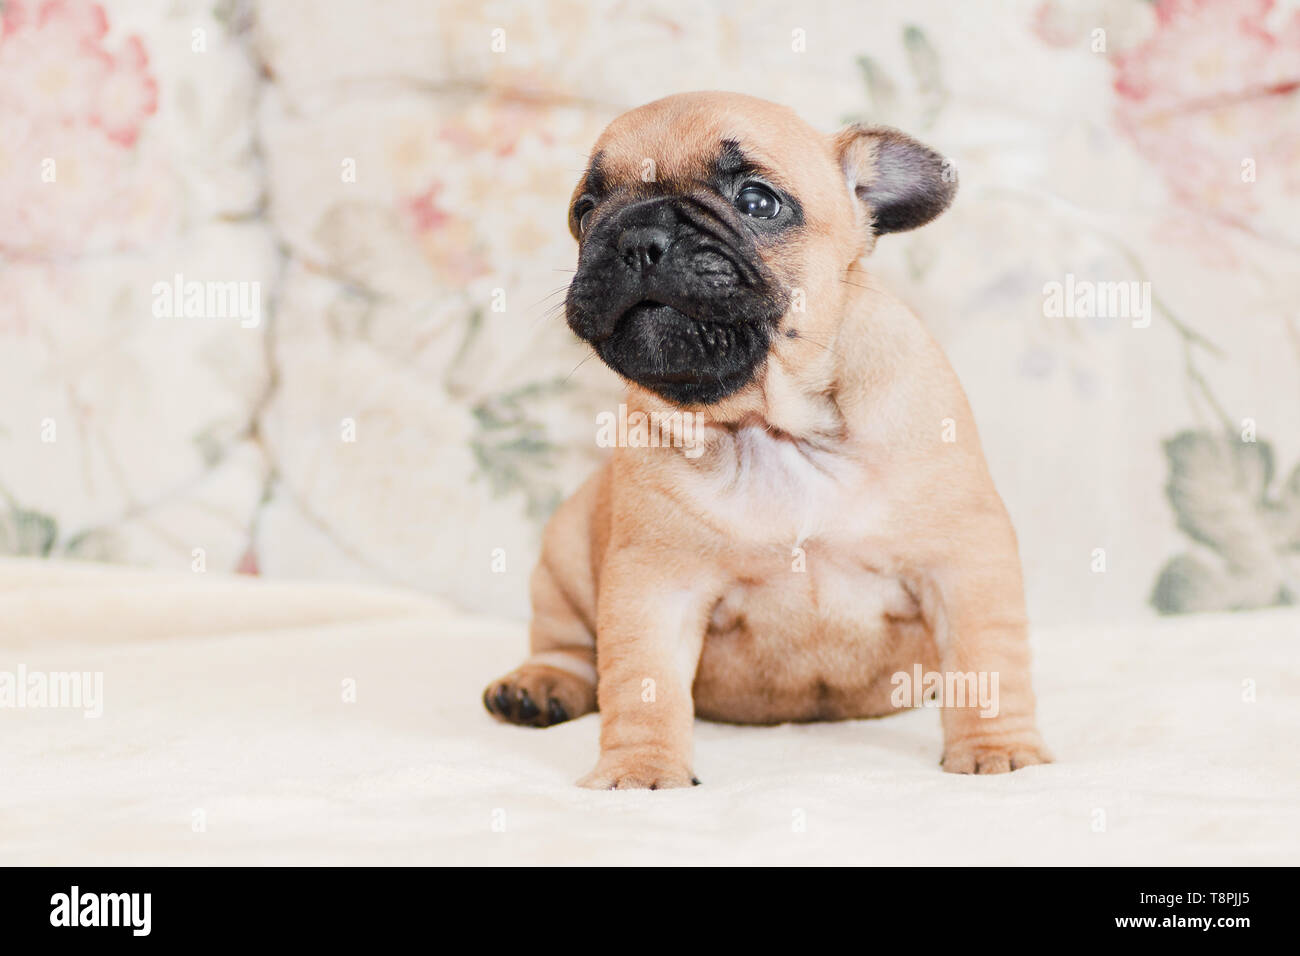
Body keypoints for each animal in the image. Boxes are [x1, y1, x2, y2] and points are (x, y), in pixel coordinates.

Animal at [483, 91, 1050, 790]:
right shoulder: (655, 585)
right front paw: (641, 771)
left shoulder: (964, 560)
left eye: (757, 200)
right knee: (568, 647)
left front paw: (999, 750)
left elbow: (986, 662)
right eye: (585, 212)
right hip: (562, 554)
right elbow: (642, 685)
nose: (636, 238)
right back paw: (538, 686)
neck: (773, 427)